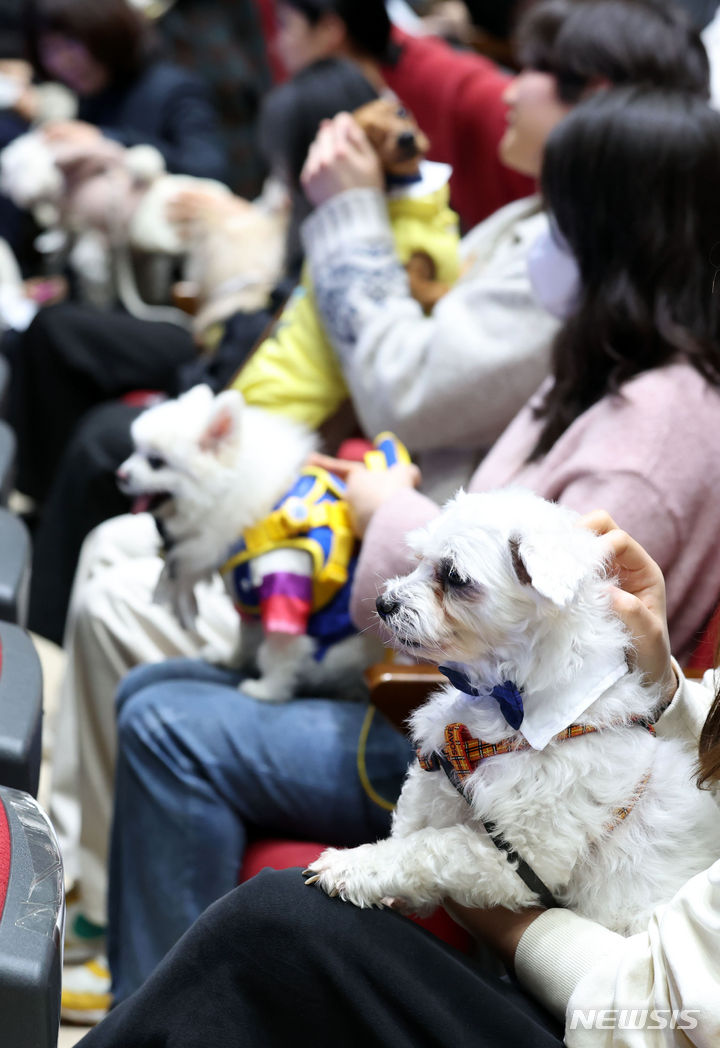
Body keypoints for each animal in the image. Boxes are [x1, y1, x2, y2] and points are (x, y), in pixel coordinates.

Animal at [116, 387, 383, 704]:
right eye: (135, 451)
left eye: (156, 462)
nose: (120, 474)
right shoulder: (246, 598)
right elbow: (246, 636)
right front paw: (233, 660)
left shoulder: (282, 585)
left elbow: (280, 652)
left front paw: (269, 690)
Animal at [306, 488, 720, 934]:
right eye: (419, 559)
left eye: (454, 576)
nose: (383, 603)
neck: (503, 703)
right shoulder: (440, 764)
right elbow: (411, 818)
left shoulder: (523, 860)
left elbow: (428, 847)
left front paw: (351, 867)